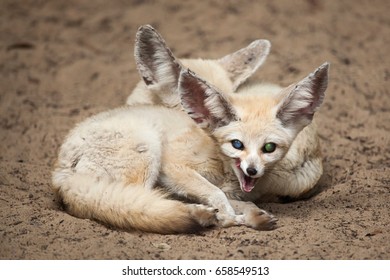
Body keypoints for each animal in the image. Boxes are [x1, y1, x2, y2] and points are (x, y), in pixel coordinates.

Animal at [51, 60, 330, 233]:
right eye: (237, 144)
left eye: (269, 148)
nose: (252, 170)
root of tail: (59, 171)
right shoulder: (173, 167)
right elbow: (217, 196)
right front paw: (229, 217)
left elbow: (229, 199)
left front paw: (245, 213)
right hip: (148, 151)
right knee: (139, 201)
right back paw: (204, 216)